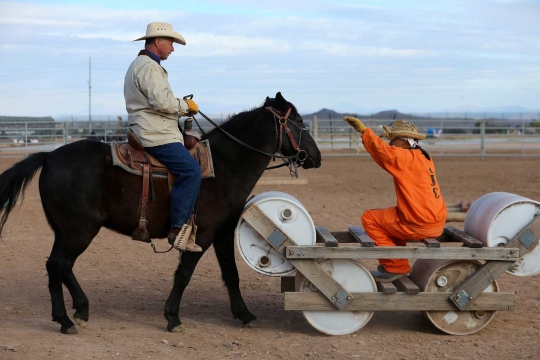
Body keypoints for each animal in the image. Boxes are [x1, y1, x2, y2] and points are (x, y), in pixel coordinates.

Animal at [0, 91, 320, 334]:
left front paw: (244, 314)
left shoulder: (223, 233)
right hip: (80, 231)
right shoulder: (201, 236)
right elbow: (184, 275)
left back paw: (64, 319)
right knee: (61, 265)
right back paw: (77, 312)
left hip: (63, 232)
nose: (315, 157)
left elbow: (231, 274)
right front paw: (173, 317)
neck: (224, 165)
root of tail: (49, 156)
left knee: (53, 266)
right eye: (298, 122)